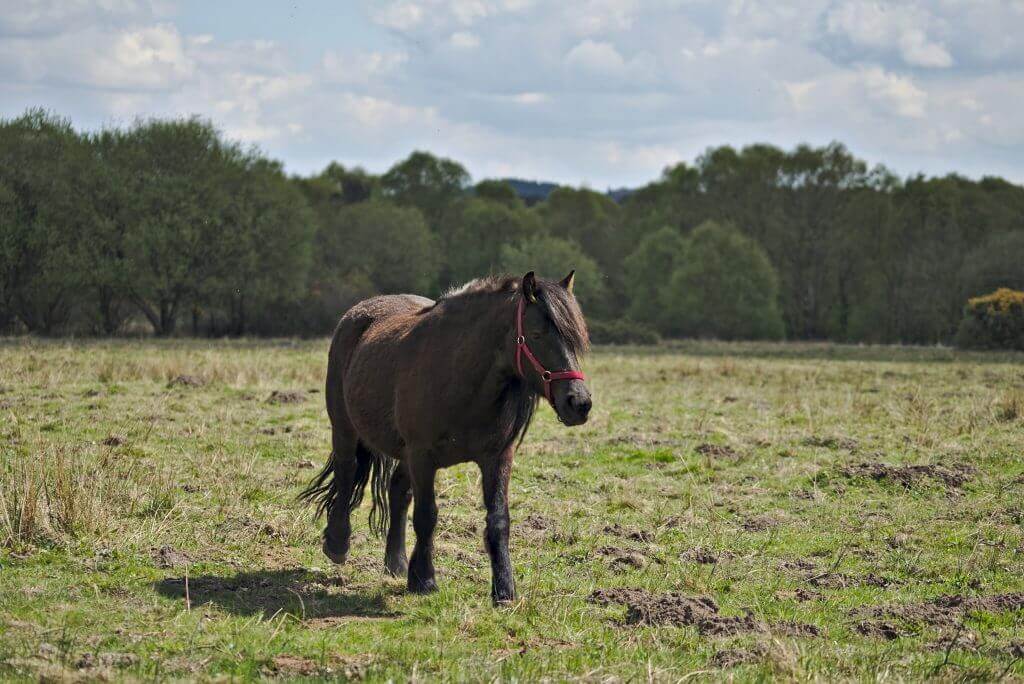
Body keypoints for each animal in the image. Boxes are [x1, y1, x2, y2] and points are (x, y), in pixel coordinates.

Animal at [299, 270, 593, 602]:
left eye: (575, 339)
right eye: (537, 334)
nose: (579, 403)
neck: (460, 380)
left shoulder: (497, 457)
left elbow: (498, 520)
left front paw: (504, 589)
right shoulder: (422, 456)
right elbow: (426, 516)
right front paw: (425, 580)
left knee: (397, 491)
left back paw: (396, 563)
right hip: (345, 429)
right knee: (347, 473)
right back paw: (338, 543)